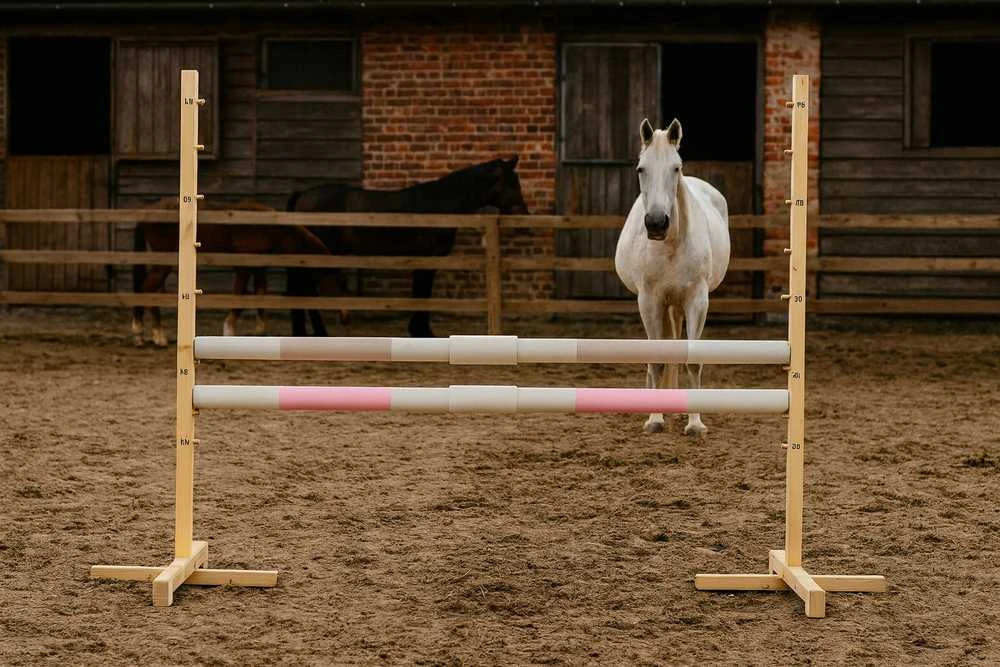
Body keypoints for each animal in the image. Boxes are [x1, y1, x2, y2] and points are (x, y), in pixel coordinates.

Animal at [130, 197, 334, 346]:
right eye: (318, 275)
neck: (268, 228)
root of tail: (147, 213)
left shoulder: (259, 267)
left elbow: (260, 295)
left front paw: (261, 331)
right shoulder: (244, 266)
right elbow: (238, 297)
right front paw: (229, 330)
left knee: (150, 291)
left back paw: (148, 334)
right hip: (164, 262)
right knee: (146, 289)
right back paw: (151, 335)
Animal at [284, 156, 529, 338]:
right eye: (510, 182)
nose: (524, 216)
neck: (438, 206)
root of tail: (303, 195)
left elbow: (420, 293)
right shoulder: (428, 259)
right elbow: (422, 293)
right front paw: (422, 331)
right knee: (305, 289)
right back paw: (318, 332)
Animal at [614, 118, 731, 436]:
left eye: (676, 168)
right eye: (641, 169)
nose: (656, 223)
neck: (670, 244)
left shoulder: (697, 301)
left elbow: (692, 360)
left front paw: (695, 423)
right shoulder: (650, 300)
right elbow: (656, 360)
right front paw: (655, 418)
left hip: (678, 304)